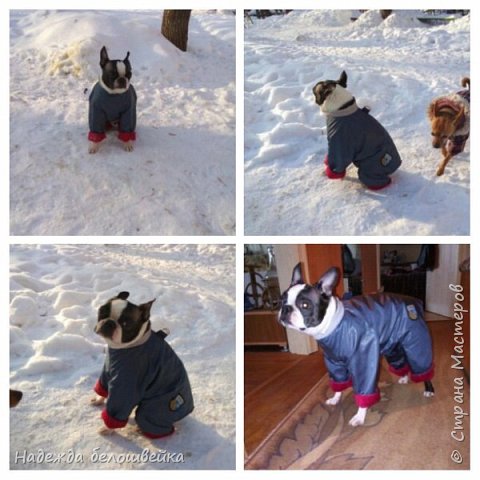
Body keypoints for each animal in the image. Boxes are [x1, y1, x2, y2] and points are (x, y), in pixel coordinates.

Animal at [92, 290, 193, 436]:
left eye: (126, 324)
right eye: (102, 311)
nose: (109, 322)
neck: (129, 346)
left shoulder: (127, 386)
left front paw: (107, 428)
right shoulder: (107, 372)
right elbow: (103, 389)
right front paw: (98, 399)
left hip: (154, 409)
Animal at [280, 264, 434, 426]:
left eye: (305, 305)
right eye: (282, 300)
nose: (285, 308)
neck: (335, 324)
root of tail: (414, 301)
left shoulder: (363, 358)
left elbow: (363, 388)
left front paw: (360, 416)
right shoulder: (334, 361)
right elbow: (339, 381)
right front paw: (335, 398)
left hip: (416, 342)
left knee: (422, 365)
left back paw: (428, 388)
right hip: (393, 346)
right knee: (400, 360)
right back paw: (404, 376)